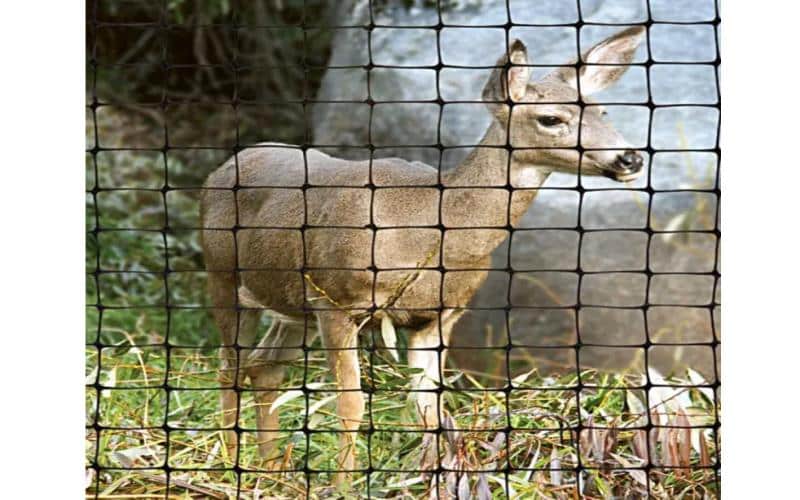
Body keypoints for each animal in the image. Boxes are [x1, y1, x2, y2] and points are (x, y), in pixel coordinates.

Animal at [200, 26, 646, 485]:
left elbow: (427, 408)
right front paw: (344, 484)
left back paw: (271, 468)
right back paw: (230, 464)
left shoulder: (439, 315)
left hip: (290, 305)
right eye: (552, 119)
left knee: (264, 368)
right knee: (229, 367)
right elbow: (351, 404)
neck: (430, 226)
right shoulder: (336, 301)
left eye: (603, 112)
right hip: (223, 276)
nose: (630, 157)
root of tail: (227, 164)